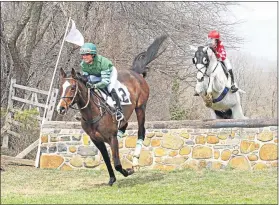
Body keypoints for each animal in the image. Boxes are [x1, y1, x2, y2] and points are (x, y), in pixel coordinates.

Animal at [56, 34, 167, 185]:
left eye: (73, 88)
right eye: (60, 87)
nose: (61, 108)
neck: (92, 114)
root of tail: (135, 72)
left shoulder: (110, 137)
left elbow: (117, 164)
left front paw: (128, 171)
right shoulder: (97, 140)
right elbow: (108, 160)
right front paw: (112, 179)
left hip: (140, 107)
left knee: (141, 131)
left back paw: (135, 162)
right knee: (124, 125)